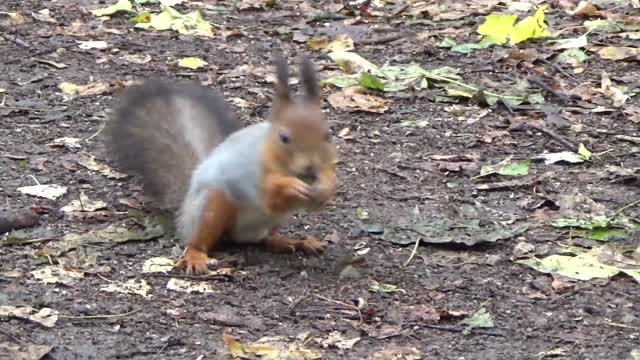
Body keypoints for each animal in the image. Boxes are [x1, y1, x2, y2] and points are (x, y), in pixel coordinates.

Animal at [102, 53, 338, 274]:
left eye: (328, 134)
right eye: (284, 138)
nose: (310, 168)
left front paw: (326, 187)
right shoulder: (251, 175)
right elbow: (271, 197)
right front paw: (291, 186)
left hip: (273, 222)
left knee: (268, 239)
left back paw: (295, 242)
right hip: (212, 207)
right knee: (199, 240)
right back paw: (196, 256)